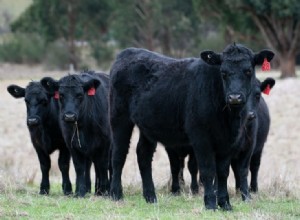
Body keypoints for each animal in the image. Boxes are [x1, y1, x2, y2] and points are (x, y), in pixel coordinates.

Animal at [109, 43, 274, 210]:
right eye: (223, 72)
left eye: (248, 71)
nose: (235, 97)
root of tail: (127, 52)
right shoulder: (200, 137)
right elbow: (207, 170)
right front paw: (210, 204)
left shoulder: (227, 142)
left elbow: (223, 172)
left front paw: (225, 204)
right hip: (119, 119)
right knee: (118, 154)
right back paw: (116, 194)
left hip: (147, 127)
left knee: (143, 155)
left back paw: (150, 197)